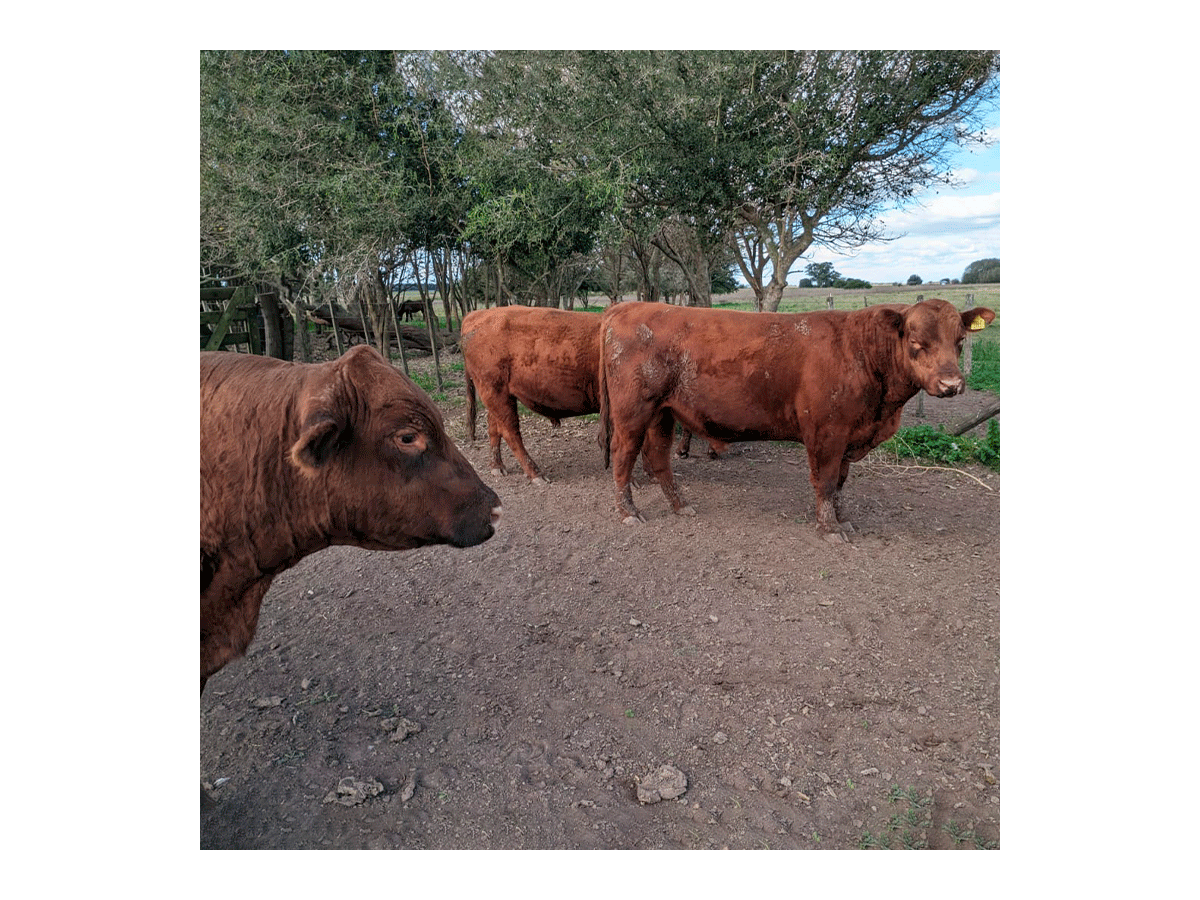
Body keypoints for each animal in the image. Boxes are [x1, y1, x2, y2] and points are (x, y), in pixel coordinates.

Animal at [595, 297, 998, 535]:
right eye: (915, 342)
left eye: (961, 340)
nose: (951, 384)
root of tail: (626, 307)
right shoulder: (827, 431)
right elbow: (827, 480)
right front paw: (829, 528)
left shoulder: (850, 434)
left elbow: (840, 483)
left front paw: (842, 519)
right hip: (633, 411)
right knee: (623, 456)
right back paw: (628, 512)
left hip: (663, 413)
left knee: (658, 458)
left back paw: (681, 506)